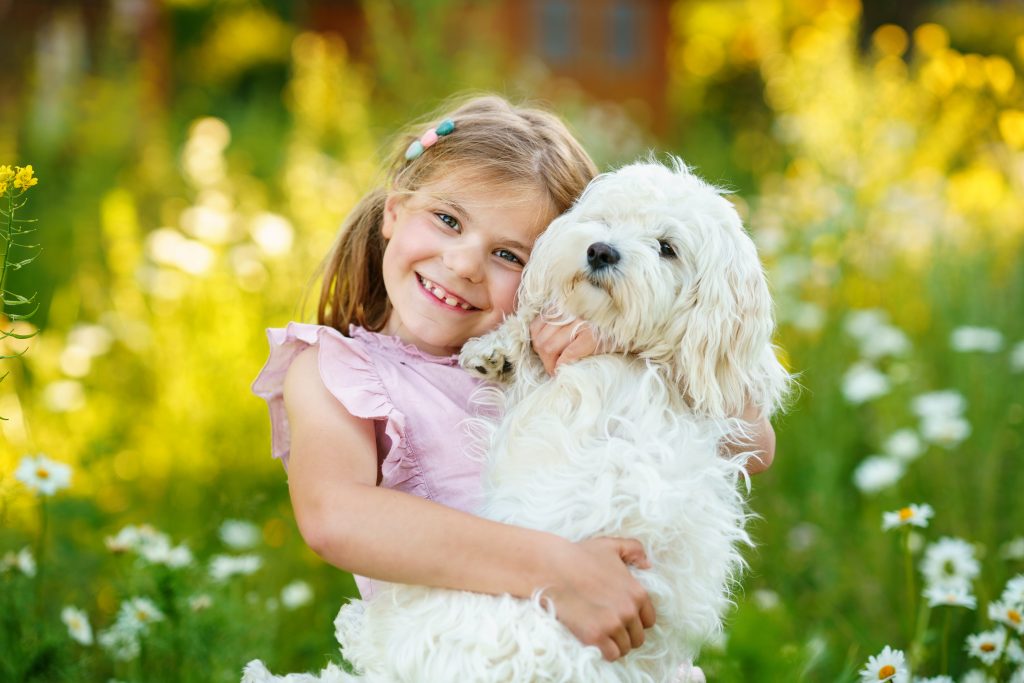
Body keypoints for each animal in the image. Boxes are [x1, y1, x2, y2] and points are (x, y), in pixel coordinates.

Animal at [243, 157, 786, 679]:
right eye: (607, 220)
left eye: (667, 248)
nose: (601, 251)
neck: (636, 356)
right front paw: (496, 349)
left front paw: (506, 348)